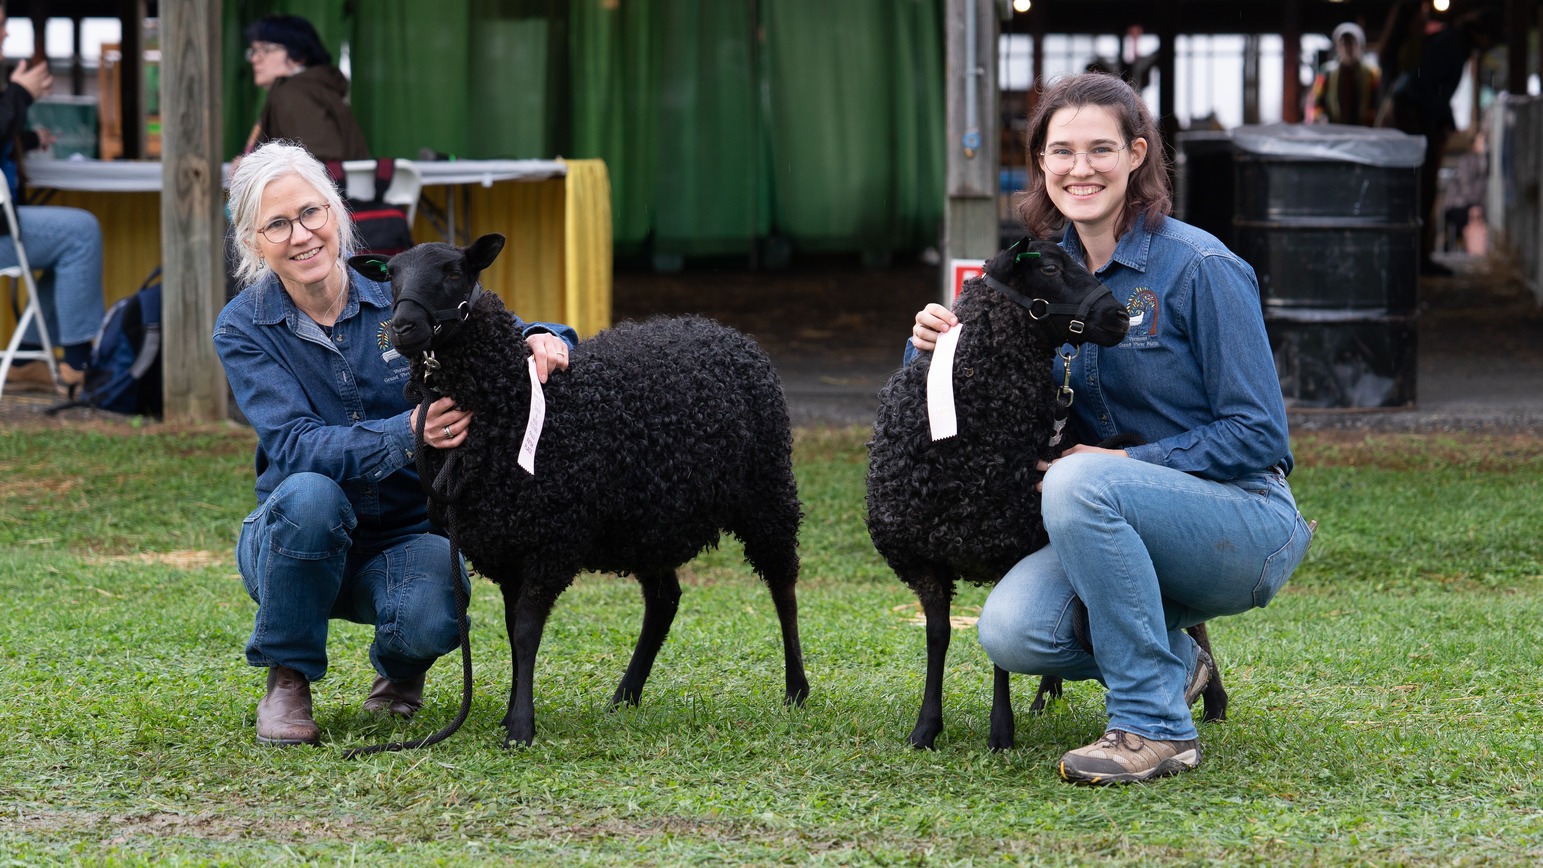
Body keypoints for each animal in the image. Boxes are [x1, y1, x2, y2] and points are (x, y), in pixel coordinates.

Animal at [350, 235, 808, 746]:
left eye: (453, 272)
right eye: (391, 275)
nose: (404, 327)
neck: (506, 398)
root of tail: (725, 332)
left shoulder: (551, 540)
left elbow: (526, 631)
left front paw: (520, 728)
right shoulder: (508, 546)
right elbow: (513, 632)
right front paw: (512, 713)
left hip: (767, 490)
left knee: (783, 585)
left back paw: (796, 690)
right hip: (646, 521)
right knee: (665, 600)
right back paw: (625, 696)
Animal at [870, 238, 1147, 755]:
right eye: (1053, 268)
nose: (1120, 317)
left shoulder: (1005, 545)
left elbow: (994, 644)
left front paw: (1001, 731)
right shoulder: (924, 558)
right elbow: (937, 637)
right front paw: (926, 728)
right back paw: (1045, 696)